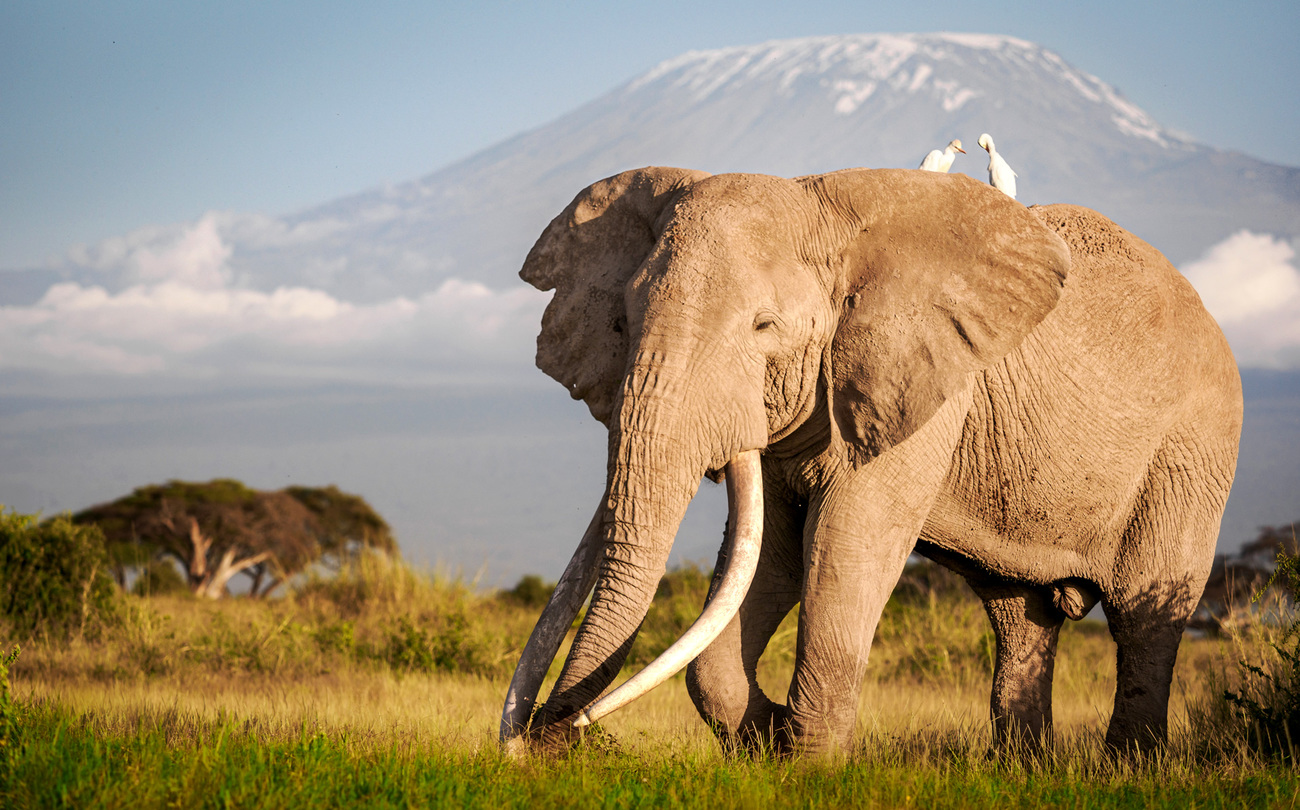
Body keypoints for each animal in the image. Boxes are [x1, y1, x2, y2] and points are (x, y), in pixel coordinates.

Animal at [499, 165, 1242, 758]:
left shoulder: (924, 384)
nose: (551, 738)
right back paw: (1024, 770)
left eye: (764, 327)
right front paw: (770, 736)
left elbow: (846, 541)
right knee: (1018, 618)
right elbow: (769, 553)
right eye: (621, 323)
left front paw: (809, 765)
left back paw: (1131, 769)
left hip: (1194, 449)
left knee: (1146, 615)